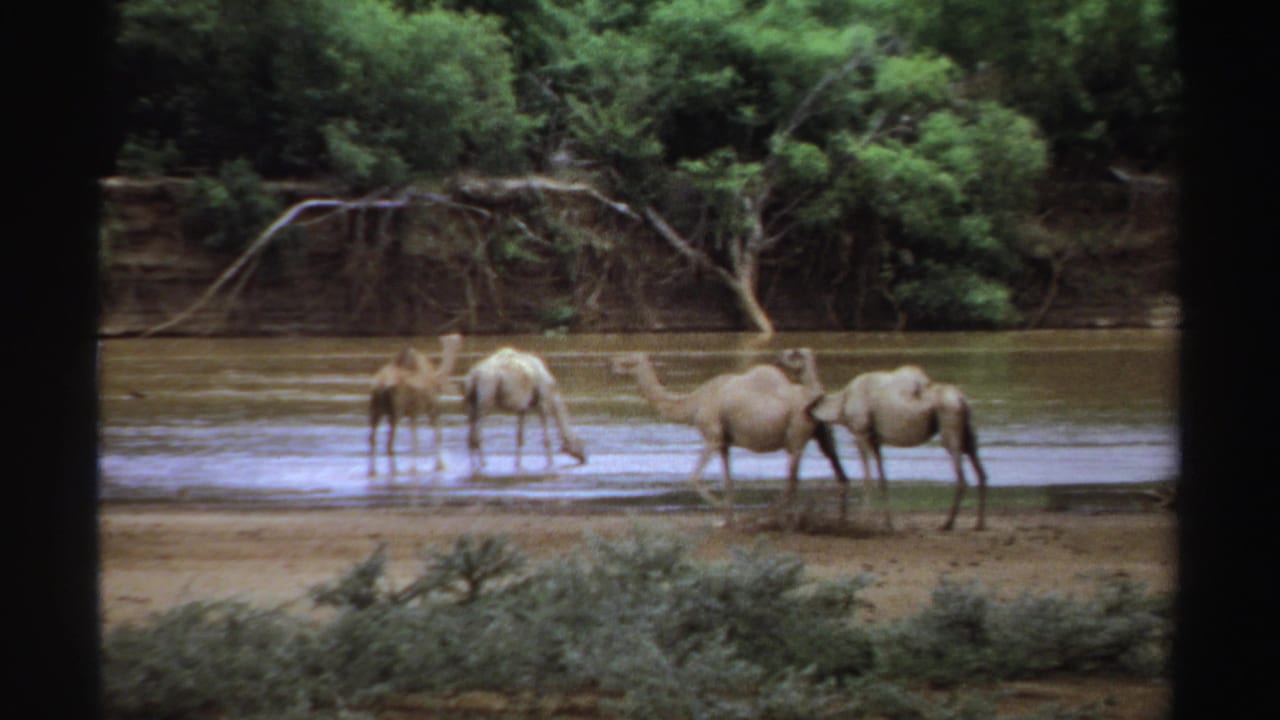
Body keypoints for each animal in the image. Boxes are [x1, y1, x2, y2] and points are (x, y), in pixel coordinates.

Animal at [368, 333, 464, 476]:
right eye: (456, 341)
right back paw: (394, 471)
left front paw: (414, 468)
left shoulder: (413, 412)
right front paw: (438, 466)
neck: (437, 378)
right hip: (396, 410)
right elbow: (436, 435)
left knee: (372, 438)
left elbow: (414, 438)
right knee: (389, 442)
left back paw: (372, 471)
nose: (460, 337)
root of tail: (380, 386)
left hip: (375, 409)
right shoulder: (432, 406)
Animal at [610, 352, 850, 528]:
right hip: (821, 434)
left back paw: (769, 520)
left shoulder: (713, 437)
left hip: (796, 435)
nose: (611, 364)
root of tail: (818, 399)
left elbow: (693, 477)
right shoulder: (724, 443)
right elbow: (729, 481)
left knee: (792, 482)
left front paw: (724, 516)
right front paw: (727, 519)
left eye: (628, 360)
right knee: (837, 474)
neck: (694, 403)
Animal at [806, 361, 989, 531]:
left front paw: (864, 521)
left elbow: (868, 478)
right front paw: (888, 524)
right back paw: (979, 524)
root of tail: (962, 400)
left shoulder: (861, 433)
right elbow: (883, 479)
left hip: (950, 428)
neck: (842, 404)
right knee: (981, 473)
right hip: (967, 435)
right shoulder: (876, 440)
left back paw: (947, 524)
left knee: (961, 477)